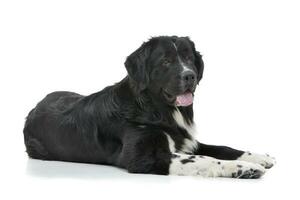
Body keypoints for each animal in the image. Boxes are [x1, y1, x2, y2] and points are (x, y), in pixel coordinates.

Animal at [24, 35, 276, 178]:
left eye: (189, 58)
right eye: (166, 61)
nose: (190, 76)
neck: (156, 109)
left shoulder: (188, 141)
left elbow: (222, 148)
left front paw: (257, 157)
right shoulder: (145, 156)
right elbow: (206, 159)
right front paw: (244, 168)